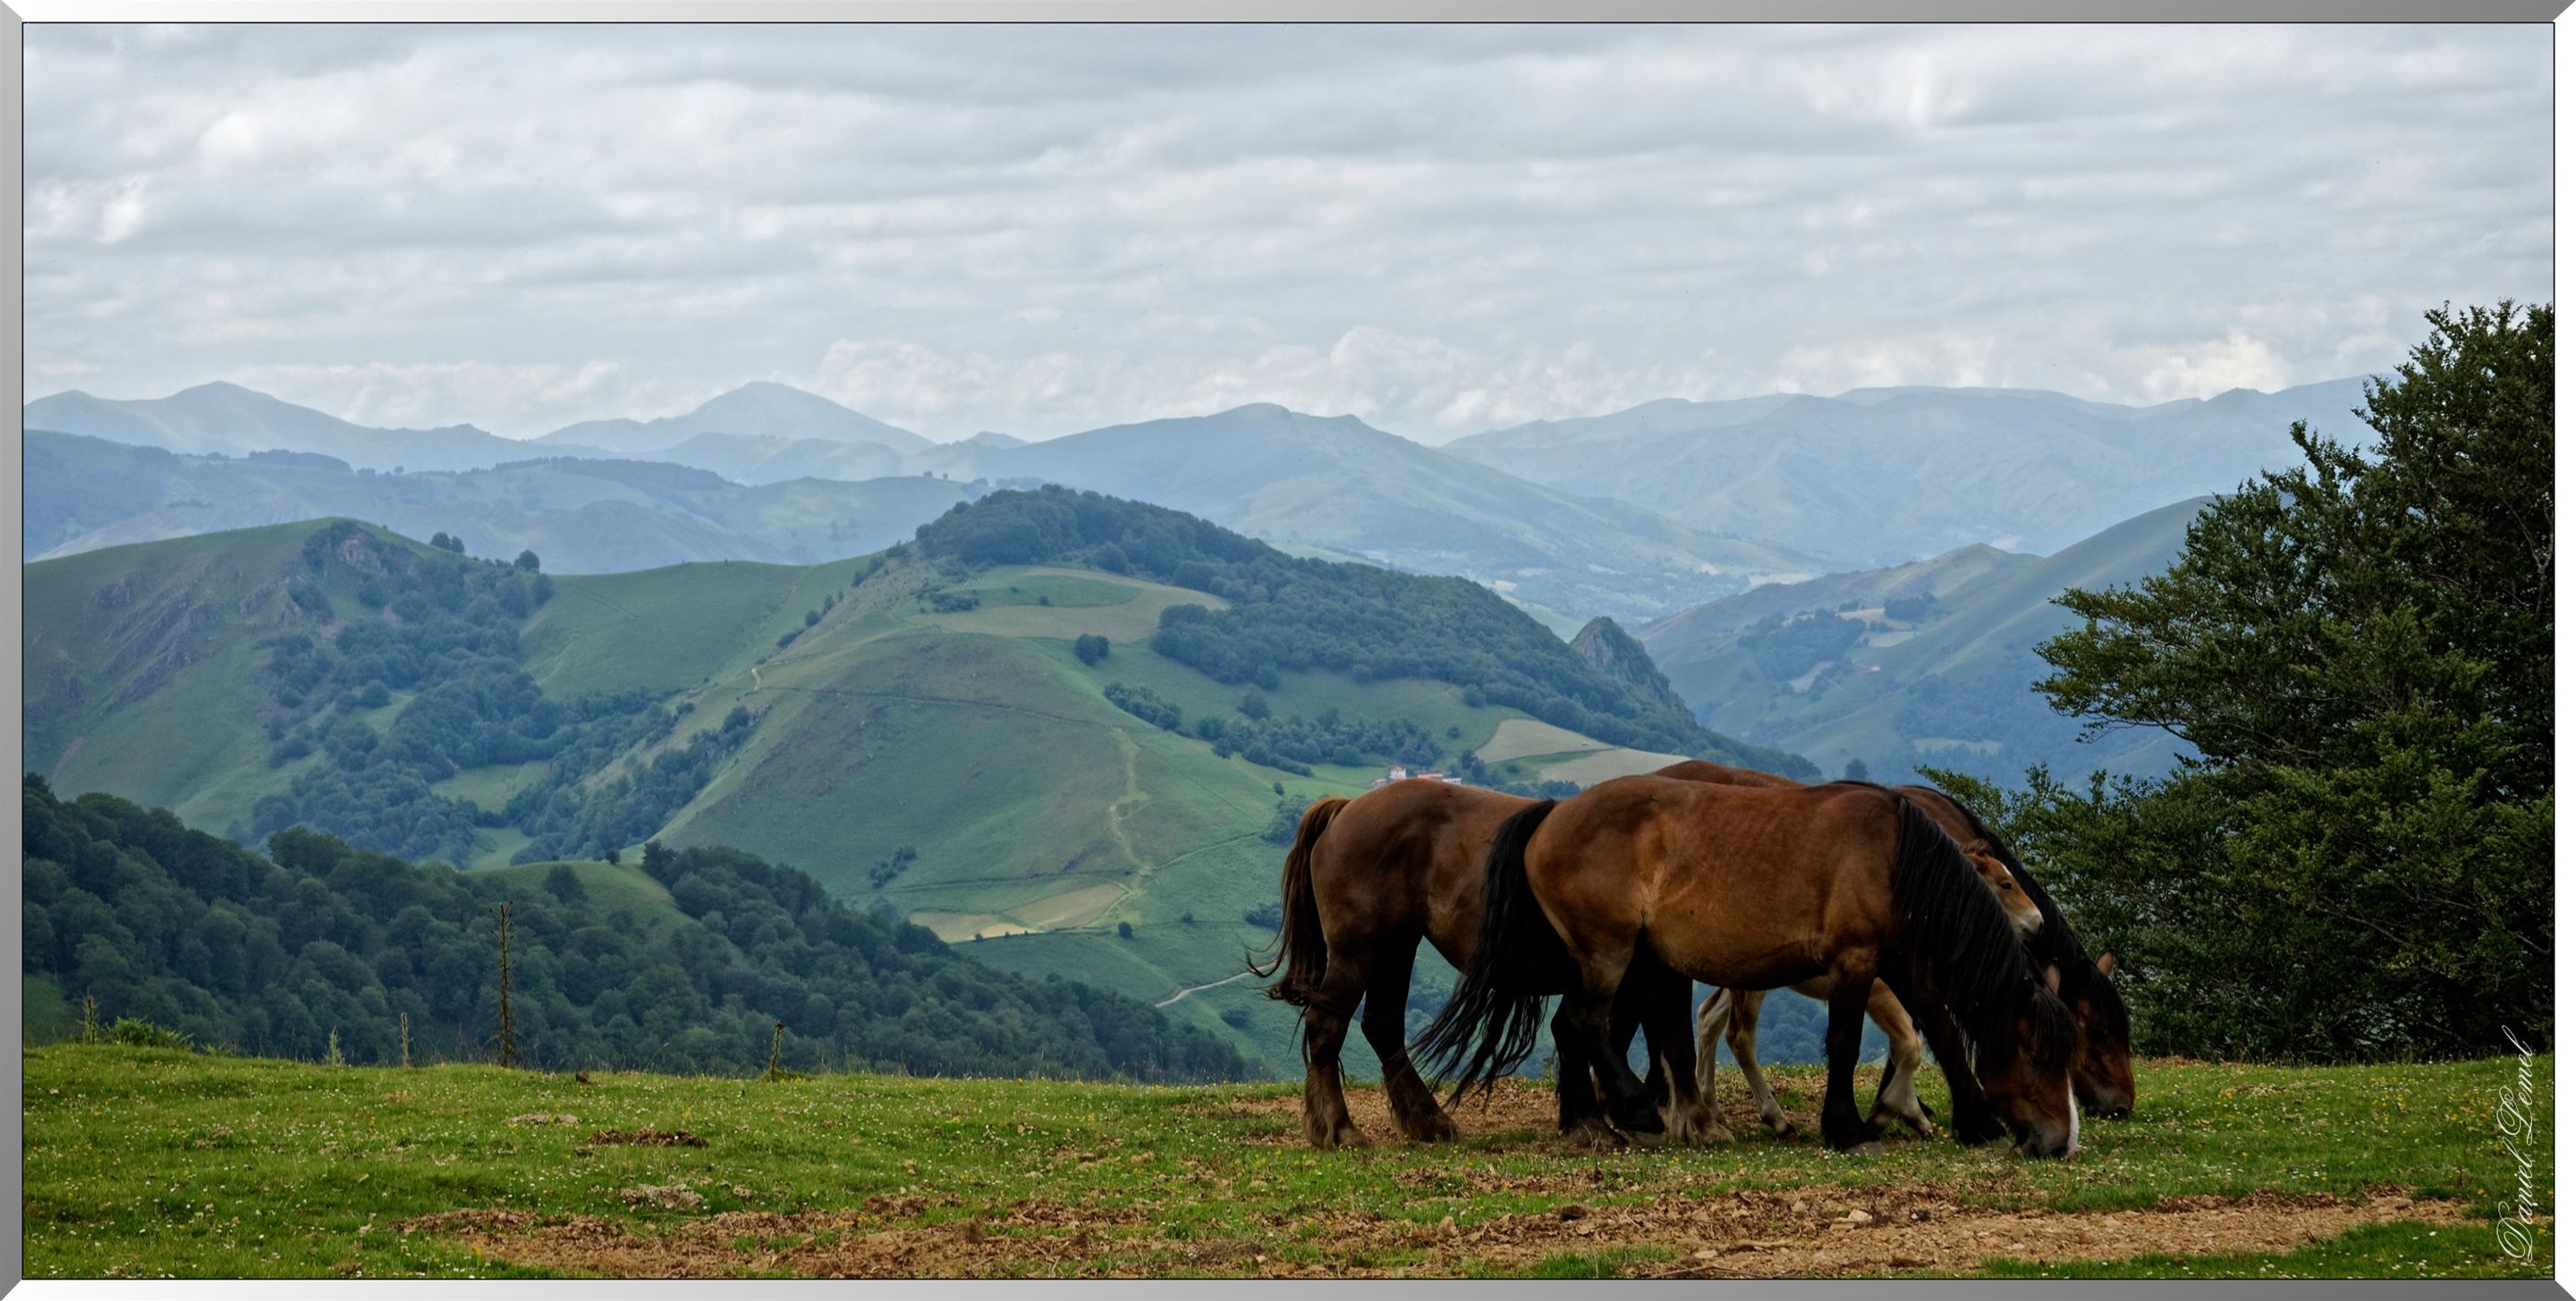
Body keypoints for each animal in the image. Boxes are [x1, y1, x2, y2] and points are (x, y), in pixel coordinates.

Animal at [1253, 767, 2045, 1149]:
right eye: (2002, 881)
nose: (2035, 922)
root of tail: (1347, 809)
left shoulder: (1659, 968)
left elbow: (1653, 1036)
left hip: (1396, 948)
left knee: (1382, 1026)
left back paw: (1426, 1121)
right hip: (1372, 946)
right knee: (1331, 1027)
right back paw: (1338, 1128)